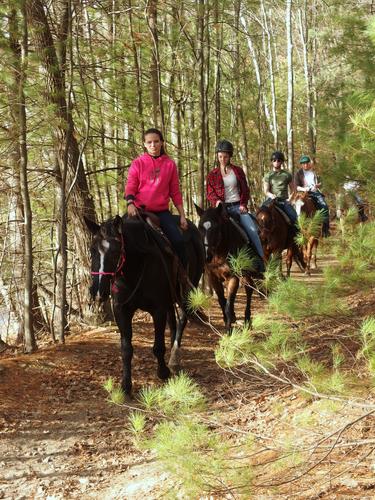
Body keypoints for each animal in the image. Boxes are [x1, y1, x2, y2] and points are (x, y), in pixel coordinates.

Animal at [85, 215, 204, 394]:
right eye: (92, 250)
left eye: (115, 252)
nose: (98, 291)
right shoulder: (121, 310)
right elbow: (126, 349)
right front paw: (126, 385)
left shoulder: (158, 309)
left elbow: (158, 346)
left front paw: (163, 372)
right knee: (173, 321)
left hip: (188, 290)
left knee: (183, 318)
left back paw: (174, 358)